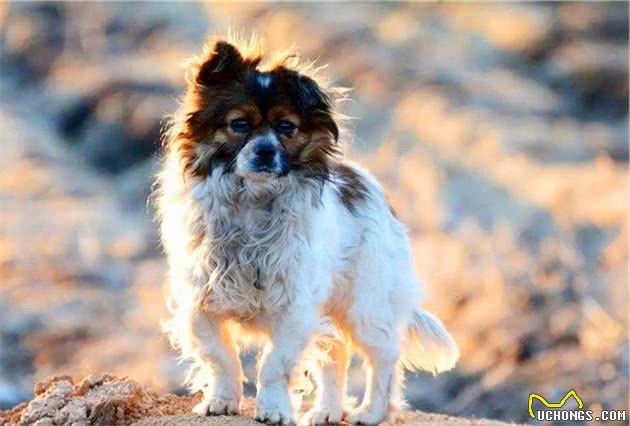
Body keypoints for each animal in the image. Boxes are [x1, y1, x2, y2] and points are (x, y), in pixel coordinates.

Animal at [154, 35, 460, 424]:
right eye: (240, 124)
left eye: (287, 128)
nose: (265, 151)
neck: (252, 202)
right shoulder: (201, 303)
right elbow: (220, 358)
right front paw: (221, 401)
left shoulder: (294, 309)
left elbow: (274, 365)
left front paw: (274, 410)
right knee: (335, 358)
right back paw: (327, 411)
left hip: (367, 307)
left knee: (384, 359)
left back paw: (370, 412)